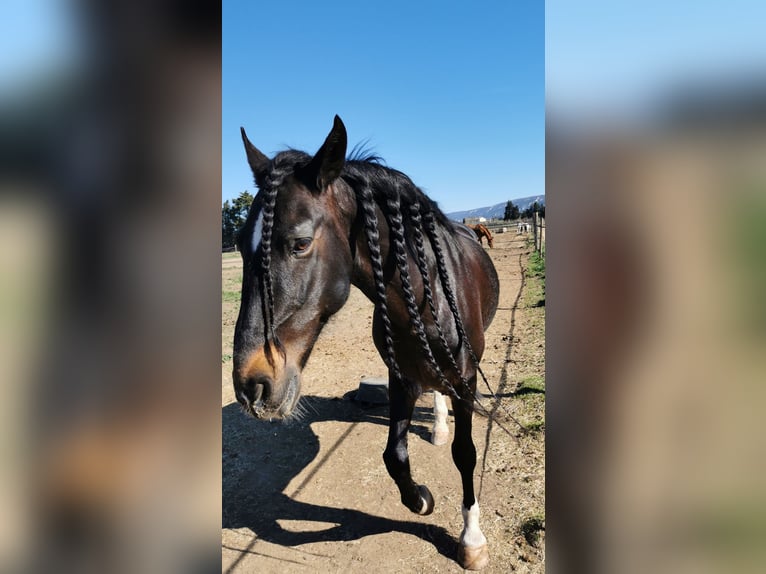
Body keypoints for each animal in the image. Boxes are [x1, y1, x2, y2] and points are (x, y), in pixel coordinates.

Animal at [234, 117, 504, 572]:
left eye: (300, 243)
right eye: (238, 244)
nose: (252, 385)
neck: (425, 293)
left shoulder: (465, 379)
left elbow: (466, 454)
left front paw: (472, 539)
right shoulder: (401, 377)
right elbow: (394, 456)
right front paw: (421, 499)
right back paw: (438, 426)